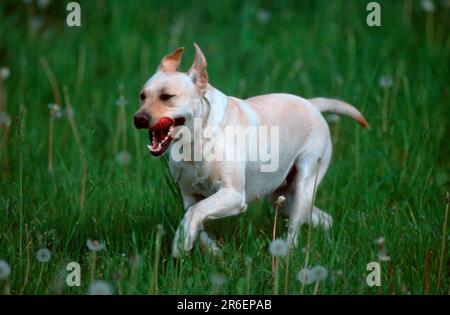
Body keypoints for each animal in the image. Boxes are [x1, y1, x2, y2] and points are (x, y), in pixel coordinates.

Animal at [133, 43, 366, 256]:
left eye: (167, 96)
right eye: (142, 96)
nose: (138, 118)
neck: (196, 140)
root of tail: (312, 105)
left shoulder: (233, 195)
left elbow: (196, 214)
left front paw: (181, 242)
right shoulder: (190, 196)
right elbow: (197, 224)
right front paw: (214, 251)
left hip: (304, 183)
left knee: (295, 228)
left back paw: (286, 253)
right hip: (283, 197)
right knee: (324, 218)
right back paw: (328, 241)